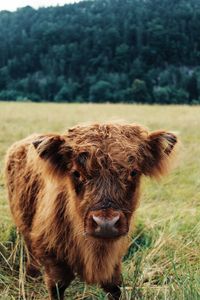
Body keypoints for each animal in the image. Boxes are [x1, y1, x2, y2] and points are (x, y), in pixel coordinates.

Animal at [4, 123, 177, 298]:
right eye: (76, 173)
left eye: (133, 172)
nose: (106, 224)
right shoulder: (52, 259)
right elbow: (57, 286)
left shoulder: (115, 261)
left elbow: (115, 287)